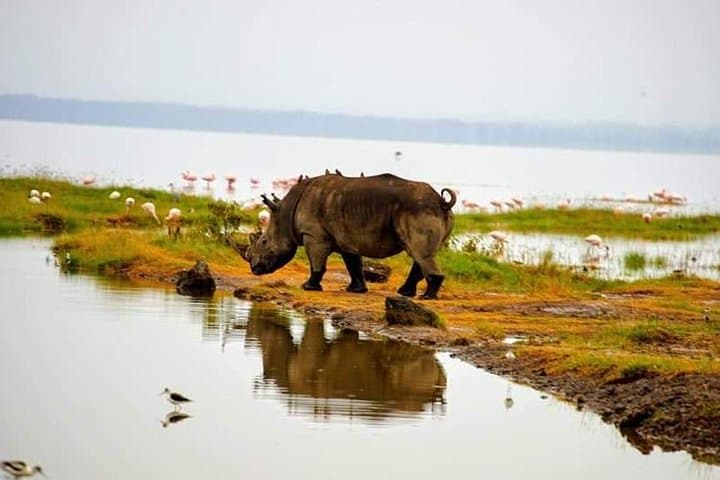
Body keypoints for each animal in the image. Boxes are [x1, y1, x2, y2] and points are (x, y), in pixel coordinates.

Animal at [241, 172, 456, 299]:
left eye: (264, 242)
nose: (254, 269)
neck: (285, 213)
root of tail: (441, 201)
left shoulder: (314, 235)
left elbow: (317, 263)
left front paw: (308, 287)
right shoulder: (346, 238)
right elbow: (353, 264)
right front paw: (356, 290)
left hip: (417, 208)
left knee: (419, 253)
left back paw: (426, 297)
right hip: (430, 212)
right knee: (419, 253)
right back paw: (406, 293)